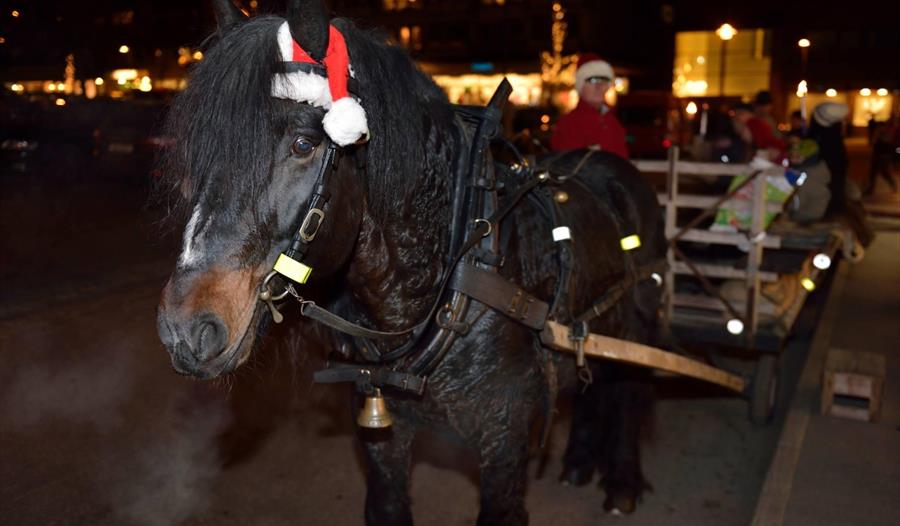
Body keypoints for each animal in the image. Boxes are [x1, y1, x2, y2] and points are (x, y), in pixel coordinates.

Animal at [155, 2, 664, 524]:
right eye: (200, 151)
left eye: (303, 144)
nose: (185, 330)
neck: (453, 277)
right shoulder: (383, 437)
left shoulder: (505, 441)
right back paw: (580, 461)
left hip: (637, 327)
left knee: (629, 389)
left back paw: (623, 482)